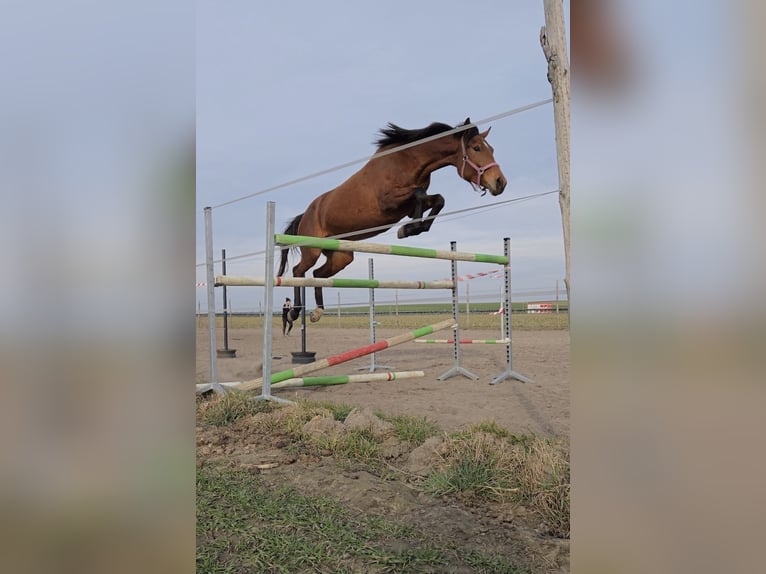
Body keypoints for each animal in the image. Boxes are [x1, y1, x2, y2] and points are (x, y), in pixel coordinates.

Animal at [277, 118, 507, 322]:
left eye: (492, 149)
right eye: (476, 148)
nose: (500, 183)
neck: (408, 161)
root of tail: (305, 214)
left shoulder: (407, 206)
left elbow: (437, 199)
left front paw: (412, 228)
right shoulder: (389, 202)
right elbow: (420, 194)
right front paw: (409, 228)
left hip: (341, 256)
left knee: (317, 273)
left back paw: (317, 311)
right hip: (312, 249)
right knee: (299, 270)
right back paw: (294, 312)